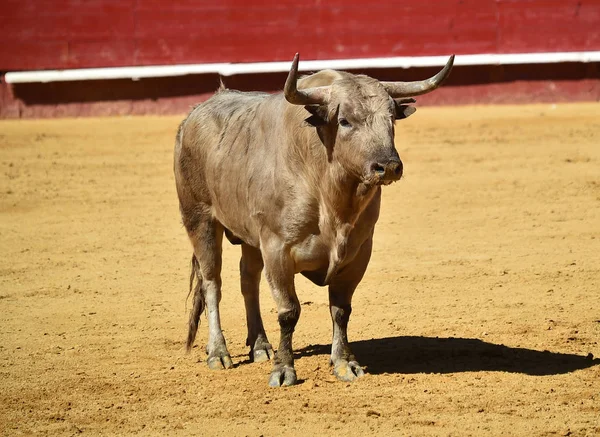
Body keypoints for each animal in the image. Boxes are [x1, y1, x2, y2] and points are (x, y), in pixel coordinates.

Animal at [173, 53, 454, 384]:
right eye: (344, 120)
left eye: (391, 118)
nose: (388, 166)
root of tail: (193, 115)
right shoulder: (277, 249)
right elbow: (288, 311)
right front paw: (283, 370)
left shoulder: (358, 253)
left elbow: (341, 310)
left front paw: (345, 362)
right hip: (199, 219)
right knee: (212, 282)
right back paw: (219, 353)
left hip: (249, 236)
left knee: (248, 280)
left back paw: (260, 346)